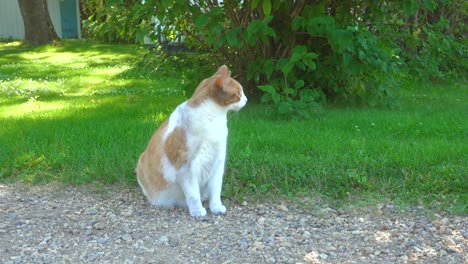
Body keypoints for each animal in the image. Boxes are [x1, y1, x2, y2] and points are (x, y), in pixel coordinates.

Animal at [135, 64, 247, 217]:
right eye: (238, 93)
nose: (246, 100)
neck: (213, 120)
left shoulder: (218, 164)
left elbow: (216, 191)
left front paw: (216, 207)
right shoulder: (186, 169)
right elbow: (194, 194)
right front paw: (197, 211)